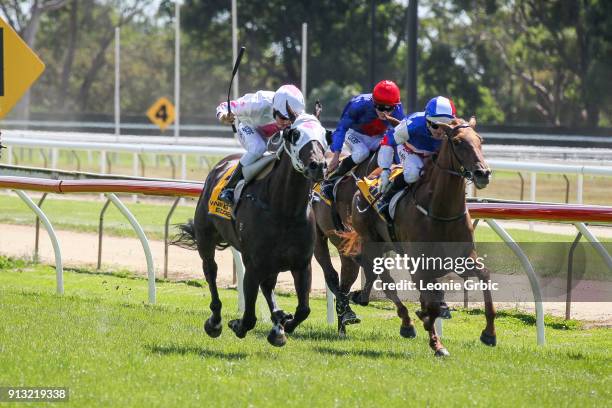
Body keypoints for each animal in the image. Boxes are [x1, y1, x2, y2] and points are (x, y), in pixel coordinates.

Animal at [175, 112, 328, 348]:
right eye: (294, 134)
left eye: (325, 134)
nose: (318, 166)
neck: (285, 209)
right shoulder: (254, 263)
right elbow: (248, 317)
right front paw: (237, 324)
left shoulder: (302, 263)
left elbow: (304, 309)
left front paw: (284, 325)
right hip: (205, 238)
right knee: (211, 271)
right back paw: (215, 321)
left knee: (268, 286)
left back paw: (278, 321)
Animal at [342, 116, 494, 356]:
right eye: (458, 142)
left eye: (480, 140)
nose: (483, 173)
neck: (441, 212)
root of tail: (366, 181)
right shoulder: (419, 266)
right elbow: (429, 302)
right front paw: (437, 344)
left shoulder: (463, 259)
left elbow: (485, 277)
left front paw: (489, 333)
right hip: (372, 241)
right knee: (386, 280)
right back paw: (405, 323)